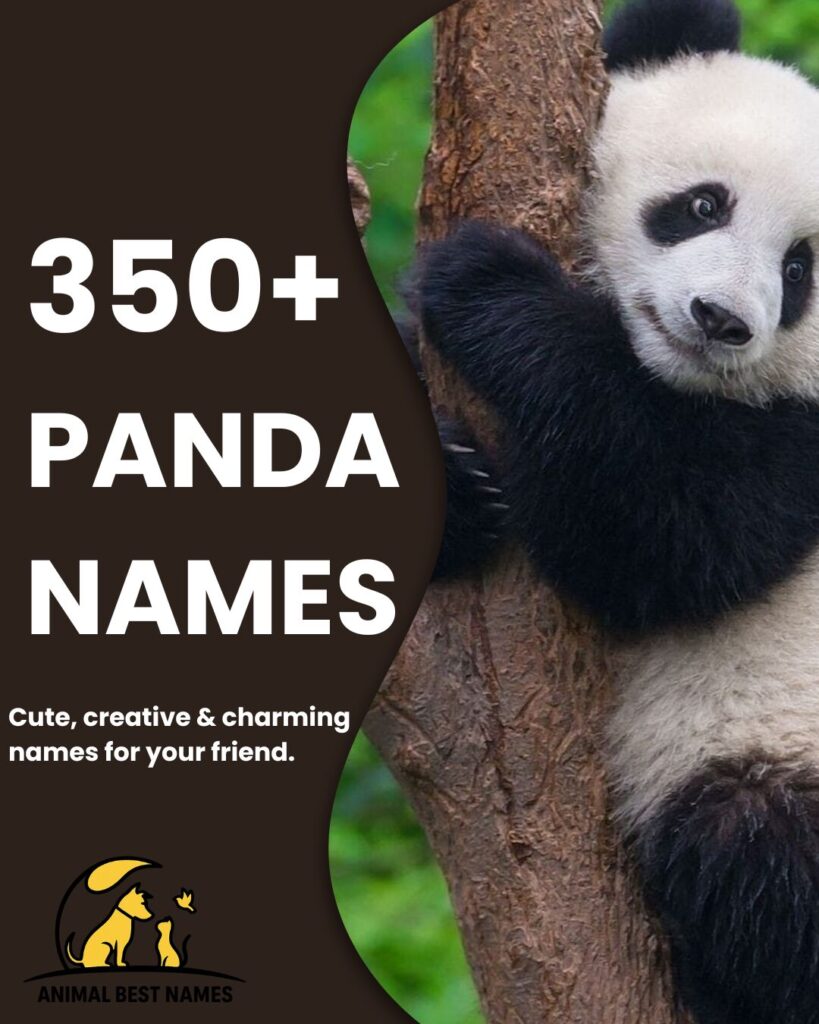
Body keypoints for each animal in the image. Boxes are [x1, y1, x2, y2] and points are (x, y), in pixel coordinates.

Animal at [413, 1, 819, 1021]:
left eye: (799, 269)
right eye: (703, 205)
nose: (720, 321)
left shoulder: (805, 445)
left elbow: (661, 540)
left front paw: (485, 282)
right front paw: (460, 490)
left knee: (756, 848)